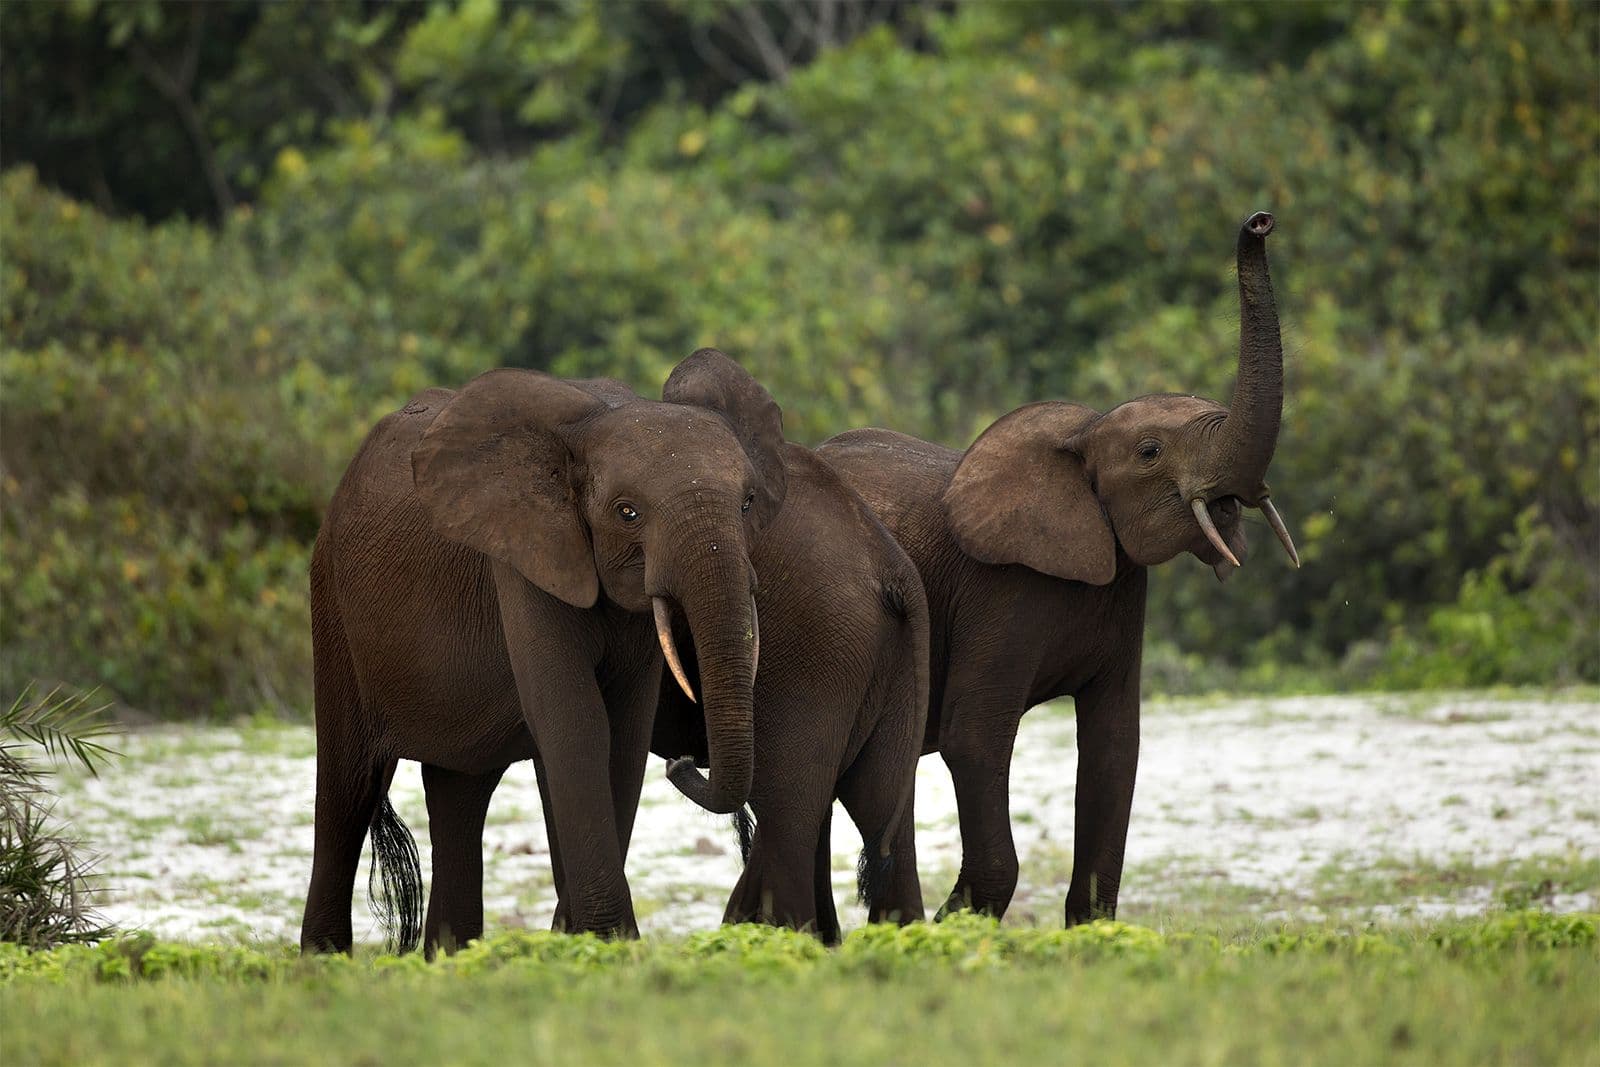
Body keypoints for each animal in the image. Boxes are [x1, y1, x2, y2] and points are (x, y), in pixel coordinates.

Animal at [300, 360, 786, 954]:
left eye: (747, 504)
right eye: (627, 512)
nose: (684, 762)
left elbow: (622, 736)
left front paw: (577, 941)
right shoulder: (525, 558)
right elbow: (574, 723)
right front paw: (609, 944)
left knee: (460, 792)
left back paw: (451, 958)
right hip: (332, 604)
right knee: (347, 786)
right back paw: (323, 961)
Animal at [817, 212, 1298, 926]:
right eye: (1150, 452)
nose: (1259, 221)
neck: (1083, 436)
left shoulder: (1122, 587)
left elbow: (1113, 747)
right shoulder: (999, 590)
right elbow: (974, 738)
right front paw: (958, 924)